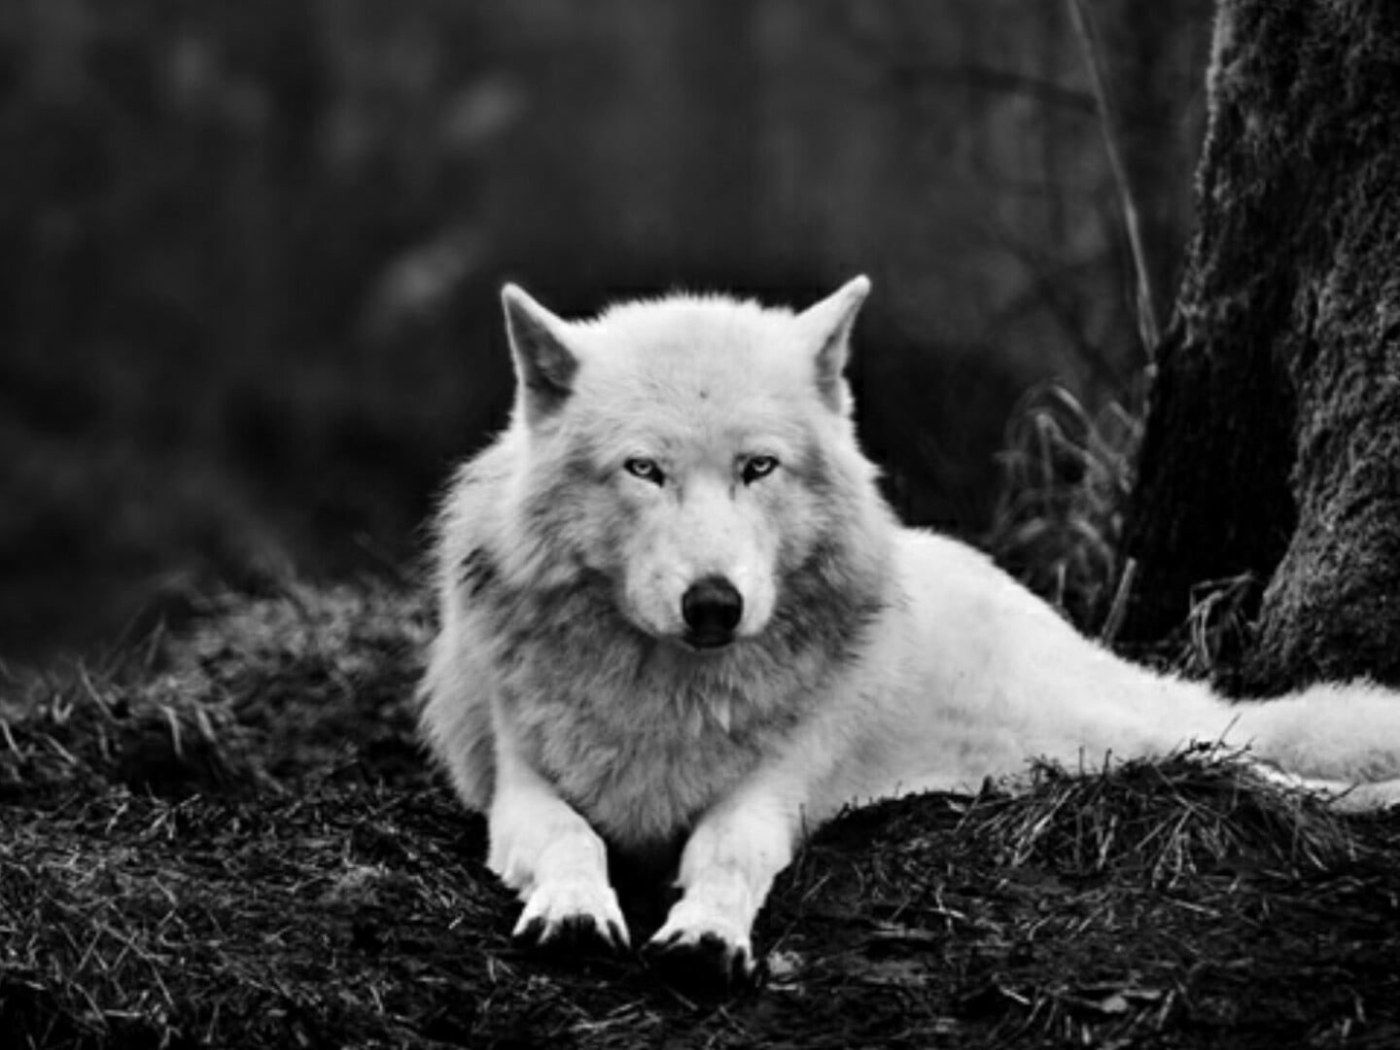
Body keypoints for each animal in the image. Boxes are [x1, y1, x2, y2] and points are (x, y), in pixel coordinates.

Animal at [419, 277, 1400, 989]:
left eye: (759, 468)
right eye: (644, 470)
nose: (715, 604)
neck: (670, 694)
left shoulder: (775, 789)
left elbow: (730, 851)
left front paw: (705, 934)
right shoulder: (518, 785)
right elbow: (571, 839)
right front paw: (577, 912)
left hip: (1110, 739)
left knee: (1245, 757)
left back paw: (1367, 798)